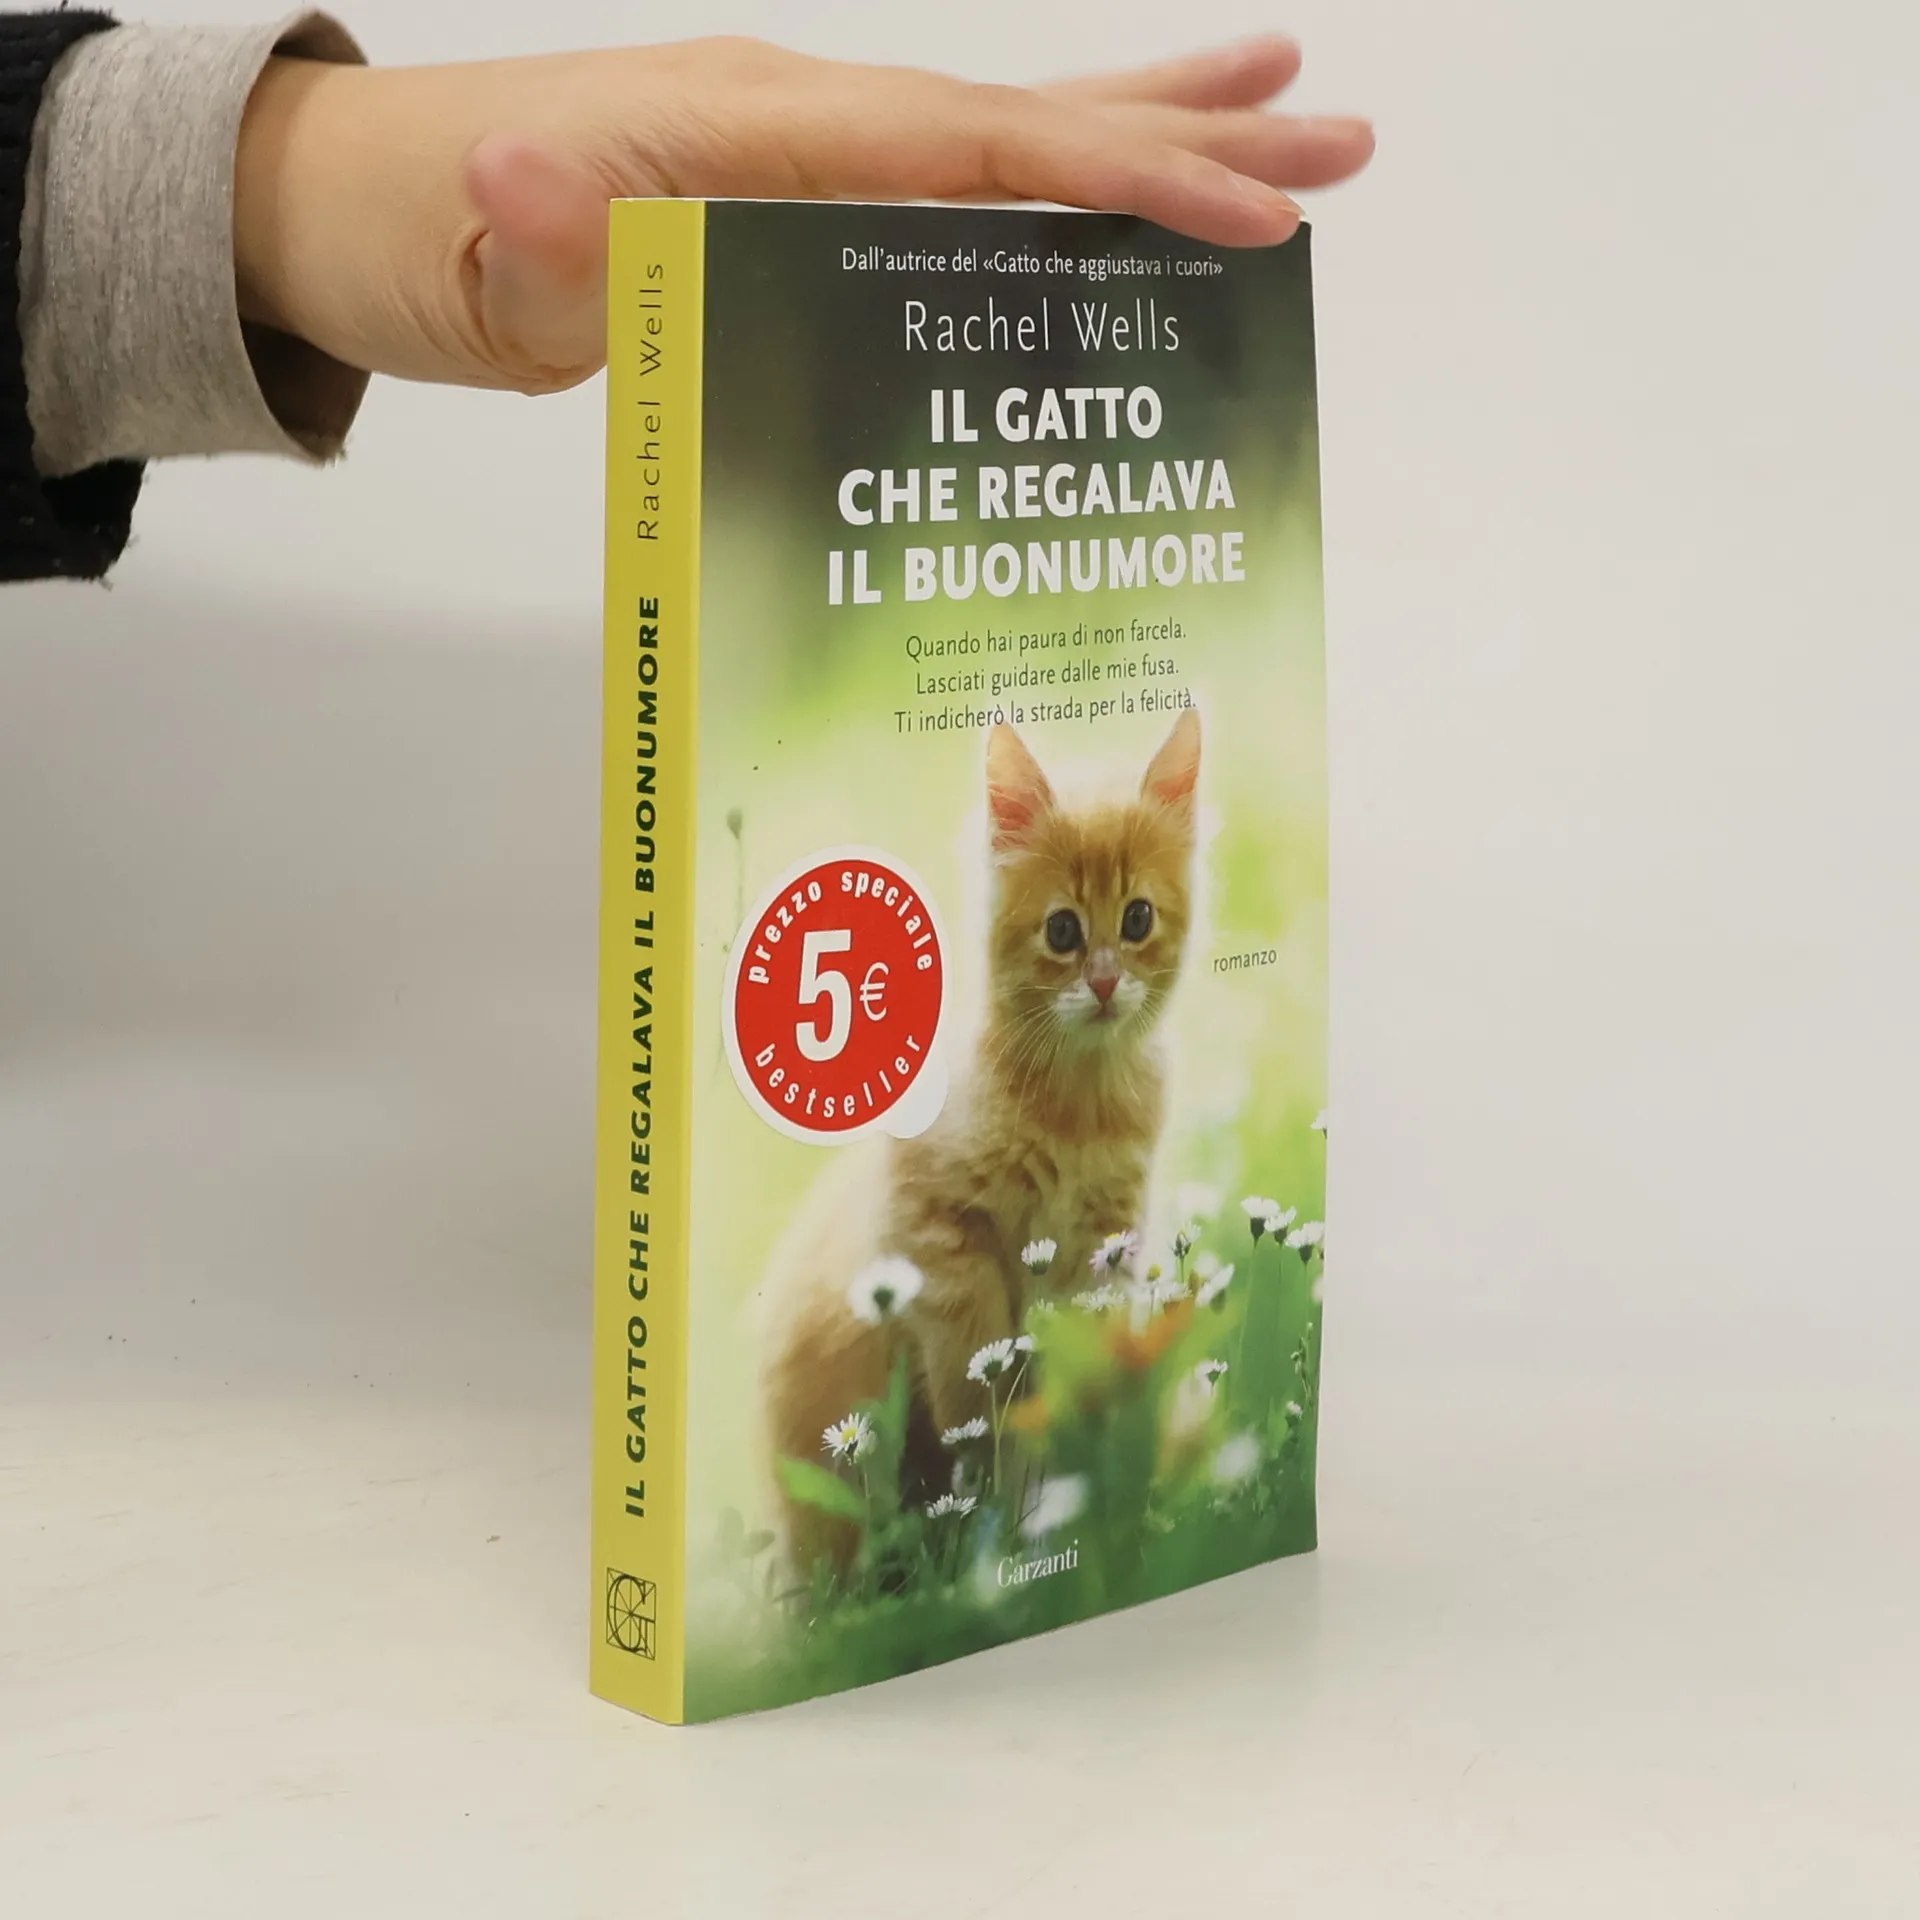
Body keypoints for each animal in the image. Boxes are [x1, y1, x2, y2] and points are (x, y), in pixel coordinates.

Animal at [755, 710, 1201, 1572]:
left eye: (1137, 919)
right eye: (1062, 930)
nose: (1103, 983)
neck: (1077, 1104)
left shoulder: (1099, 1252)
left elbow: (1070, 1382)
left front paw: (1058, 1507)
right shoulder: (932, 1229)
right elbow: (975, 1373)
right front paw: (995, 1484)